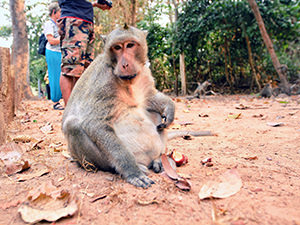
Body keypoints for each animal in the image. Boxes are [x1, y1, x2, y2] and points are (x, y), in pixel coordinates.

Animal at [62, 24, 176, 189]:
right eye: (117, 47)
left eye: (130, 45)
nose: (125, 64)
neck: (128, 81)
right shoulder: (103, 81)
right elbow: (95, 124)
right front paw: (132, 171)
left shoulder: (144, 72)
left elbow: (150, 98)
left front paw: (169, 107)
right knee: (72, 125)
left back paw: (158, 159)